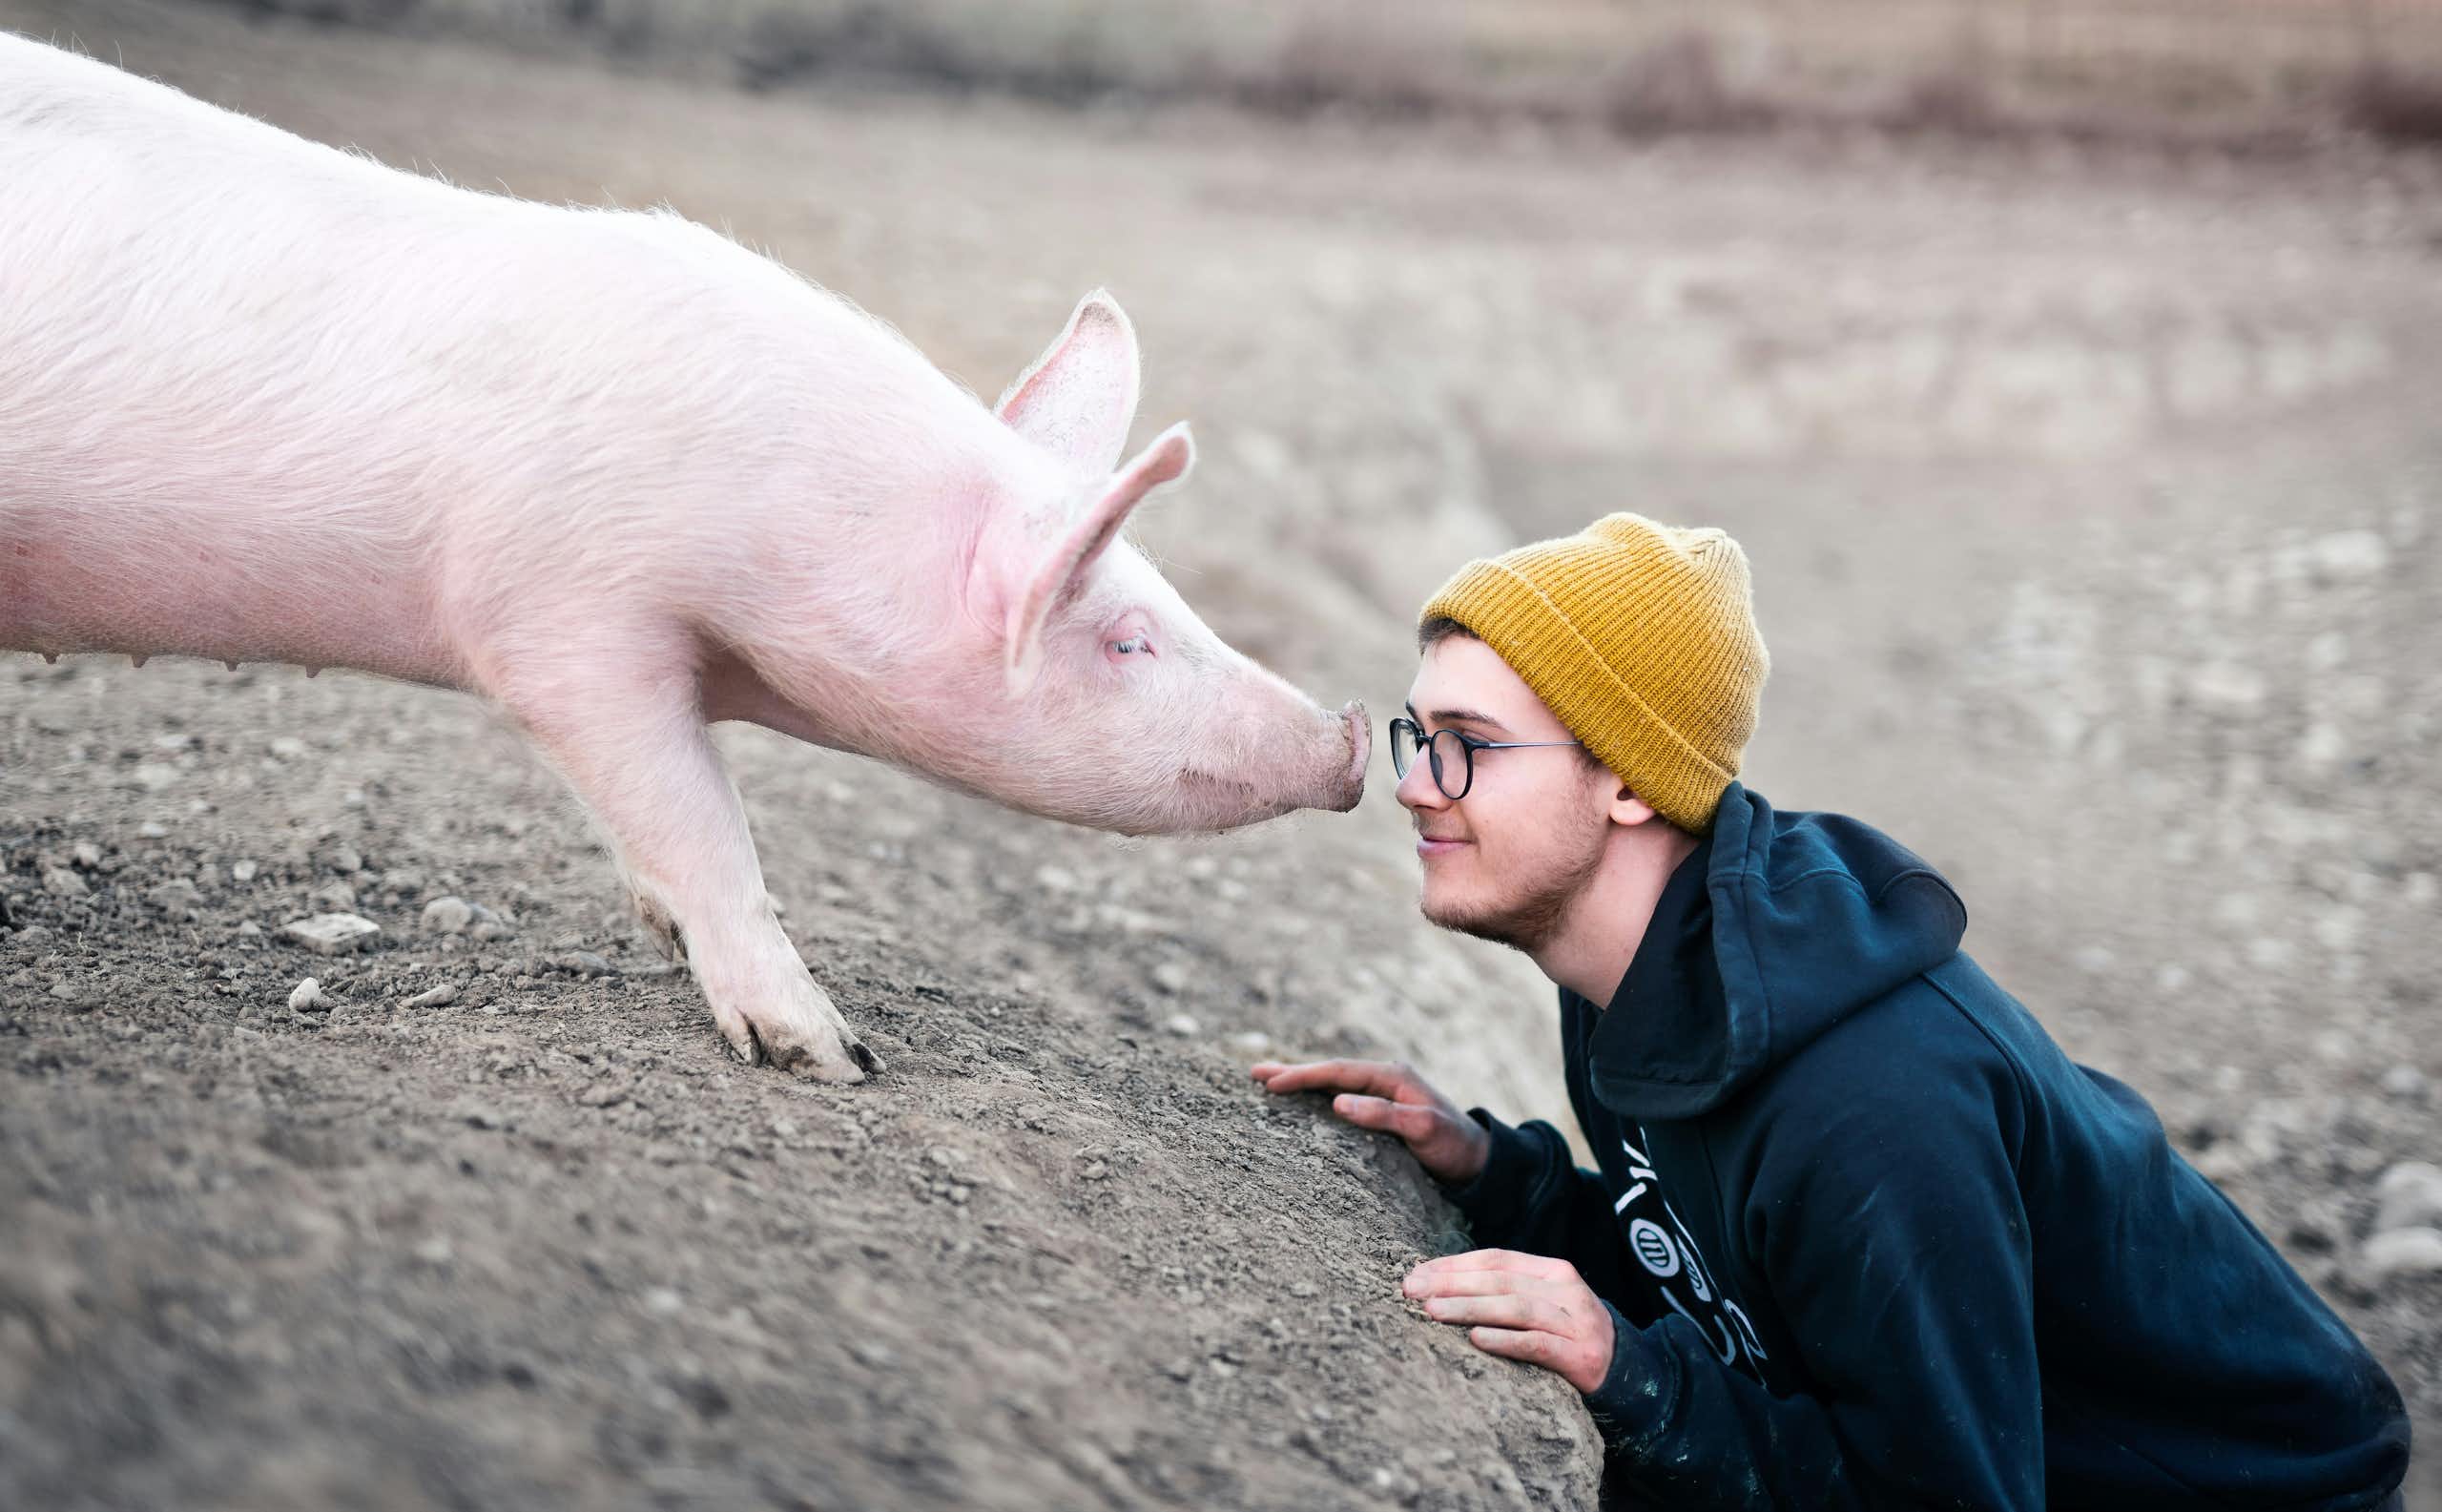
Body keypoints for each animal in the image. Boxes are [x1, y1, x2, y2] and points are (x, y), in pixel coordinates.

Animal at [0, 36, 1369, 1082]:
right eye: (1127, 638)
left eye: (1169, 597)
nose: (1352, 735)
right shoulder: (559, 614)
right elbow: (700, 816)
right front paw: (832, 1056)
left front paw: (665, 935)